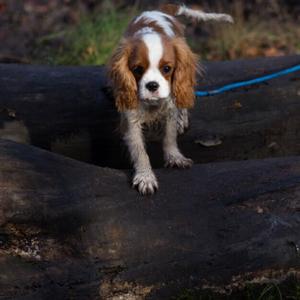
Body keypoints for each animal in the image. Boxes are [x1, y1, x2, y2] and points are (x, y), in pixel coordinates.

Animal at [106, 4, 233, 195]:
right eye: (137, 69)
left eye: (167, 69)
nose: (152, 85)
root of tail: (159, 9)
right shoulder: (131, 119)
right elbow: (139, 150)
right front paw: (145, 176)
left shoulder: (170, 110)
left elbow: (169, 136)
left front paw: (174, 157)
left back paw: (183, 120)